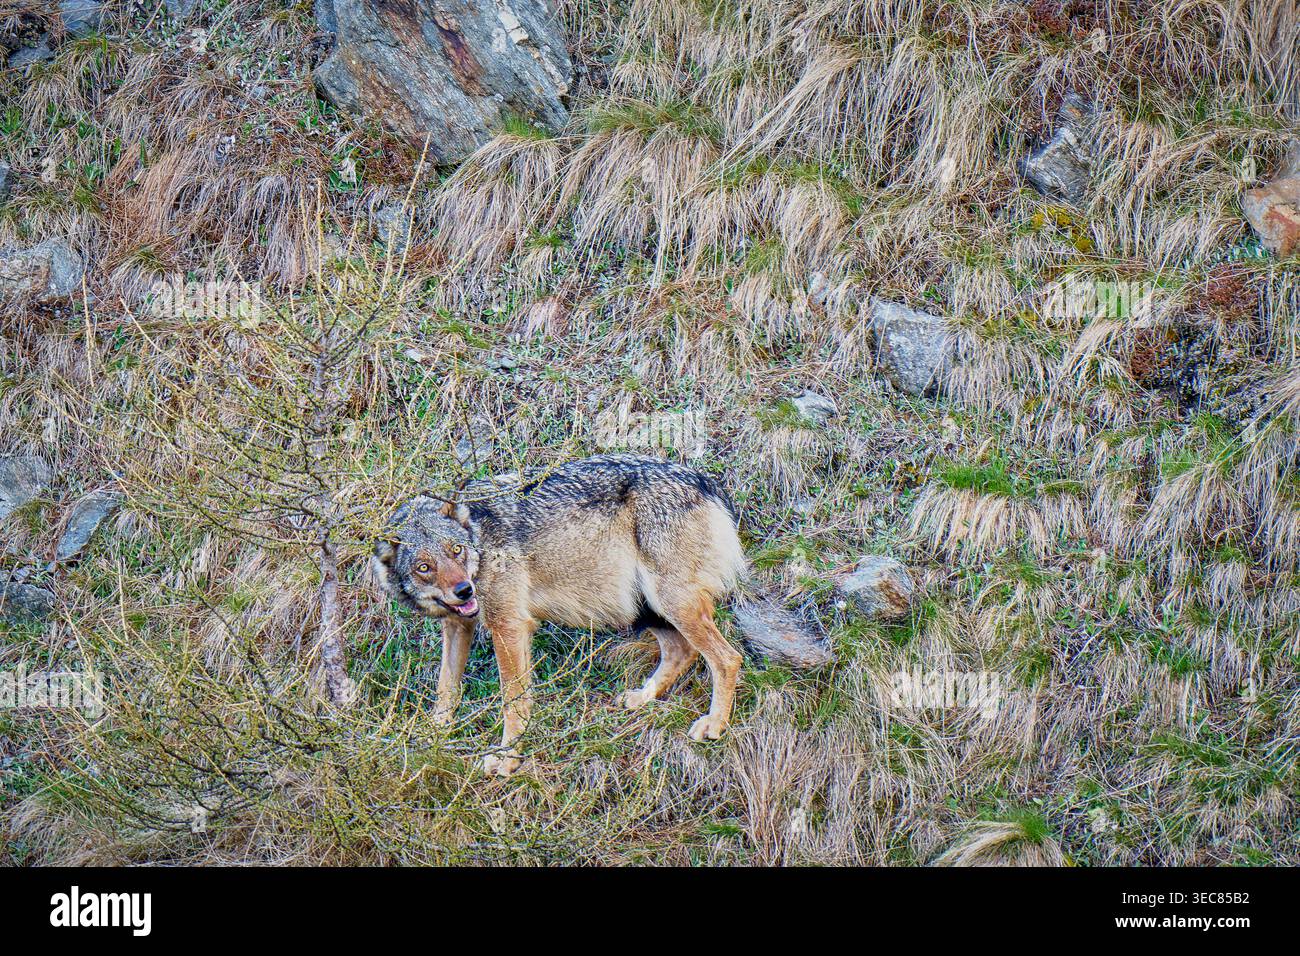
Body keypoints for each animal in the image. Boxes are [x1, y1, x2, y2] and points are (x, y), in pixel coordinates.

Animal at [372, 454, 749, 777]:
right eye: (424, 567)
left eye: (456, 550)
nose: (465, 590)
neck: (479, 540)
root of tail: (704, 480)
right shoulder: (456, 626)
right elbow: (446, 687)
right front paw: (431, 734)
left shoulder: (509, 626)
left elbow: (513, 701)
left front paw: (507, 760)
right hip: (644, 608)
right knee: (681, 650)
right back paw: (642, 698)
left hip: (668, 603)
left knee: (727, 658)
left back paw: (714, 724)